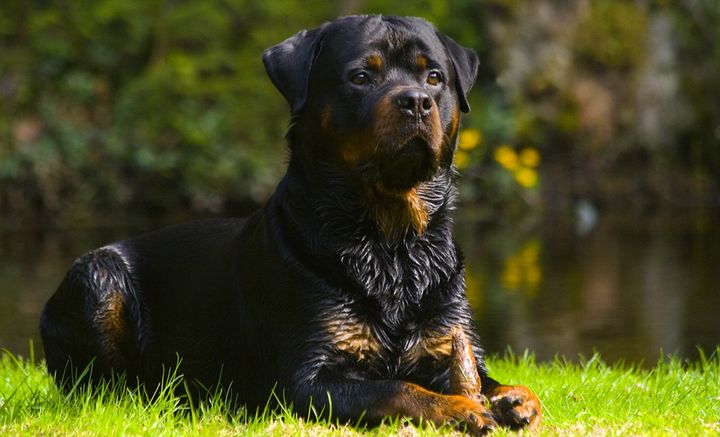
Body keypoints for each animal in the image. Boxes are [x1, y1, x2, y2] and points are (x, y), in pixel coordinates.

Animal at [40, 14, 540, 432]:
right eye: (361, 77)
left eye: (434, 77)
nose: (416, 101)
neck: (391, 242)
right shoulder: (306, 382)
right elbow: (398, 389)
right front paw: (459, 407)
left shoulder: (448, 343)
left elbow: (491, 379)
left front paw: (515, 397)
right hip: (97, 278)